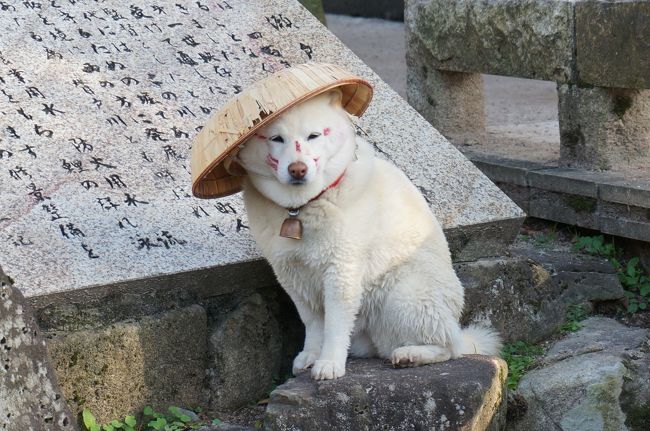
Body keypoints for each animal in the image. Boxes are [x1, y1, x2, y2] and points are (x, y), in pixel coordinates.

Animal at [235, 89, 498, 380]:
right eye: (276, 139)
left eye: (313, 136)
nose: (298, 169)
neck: (301, 207)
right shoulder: (293, 276)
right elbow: (314, 324)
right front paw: (311, 355)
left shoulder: (342, 270)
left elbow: (335, 324)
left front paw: (329, 363)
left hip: (404, 295)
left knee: (450, 346)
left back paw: (411, 354)